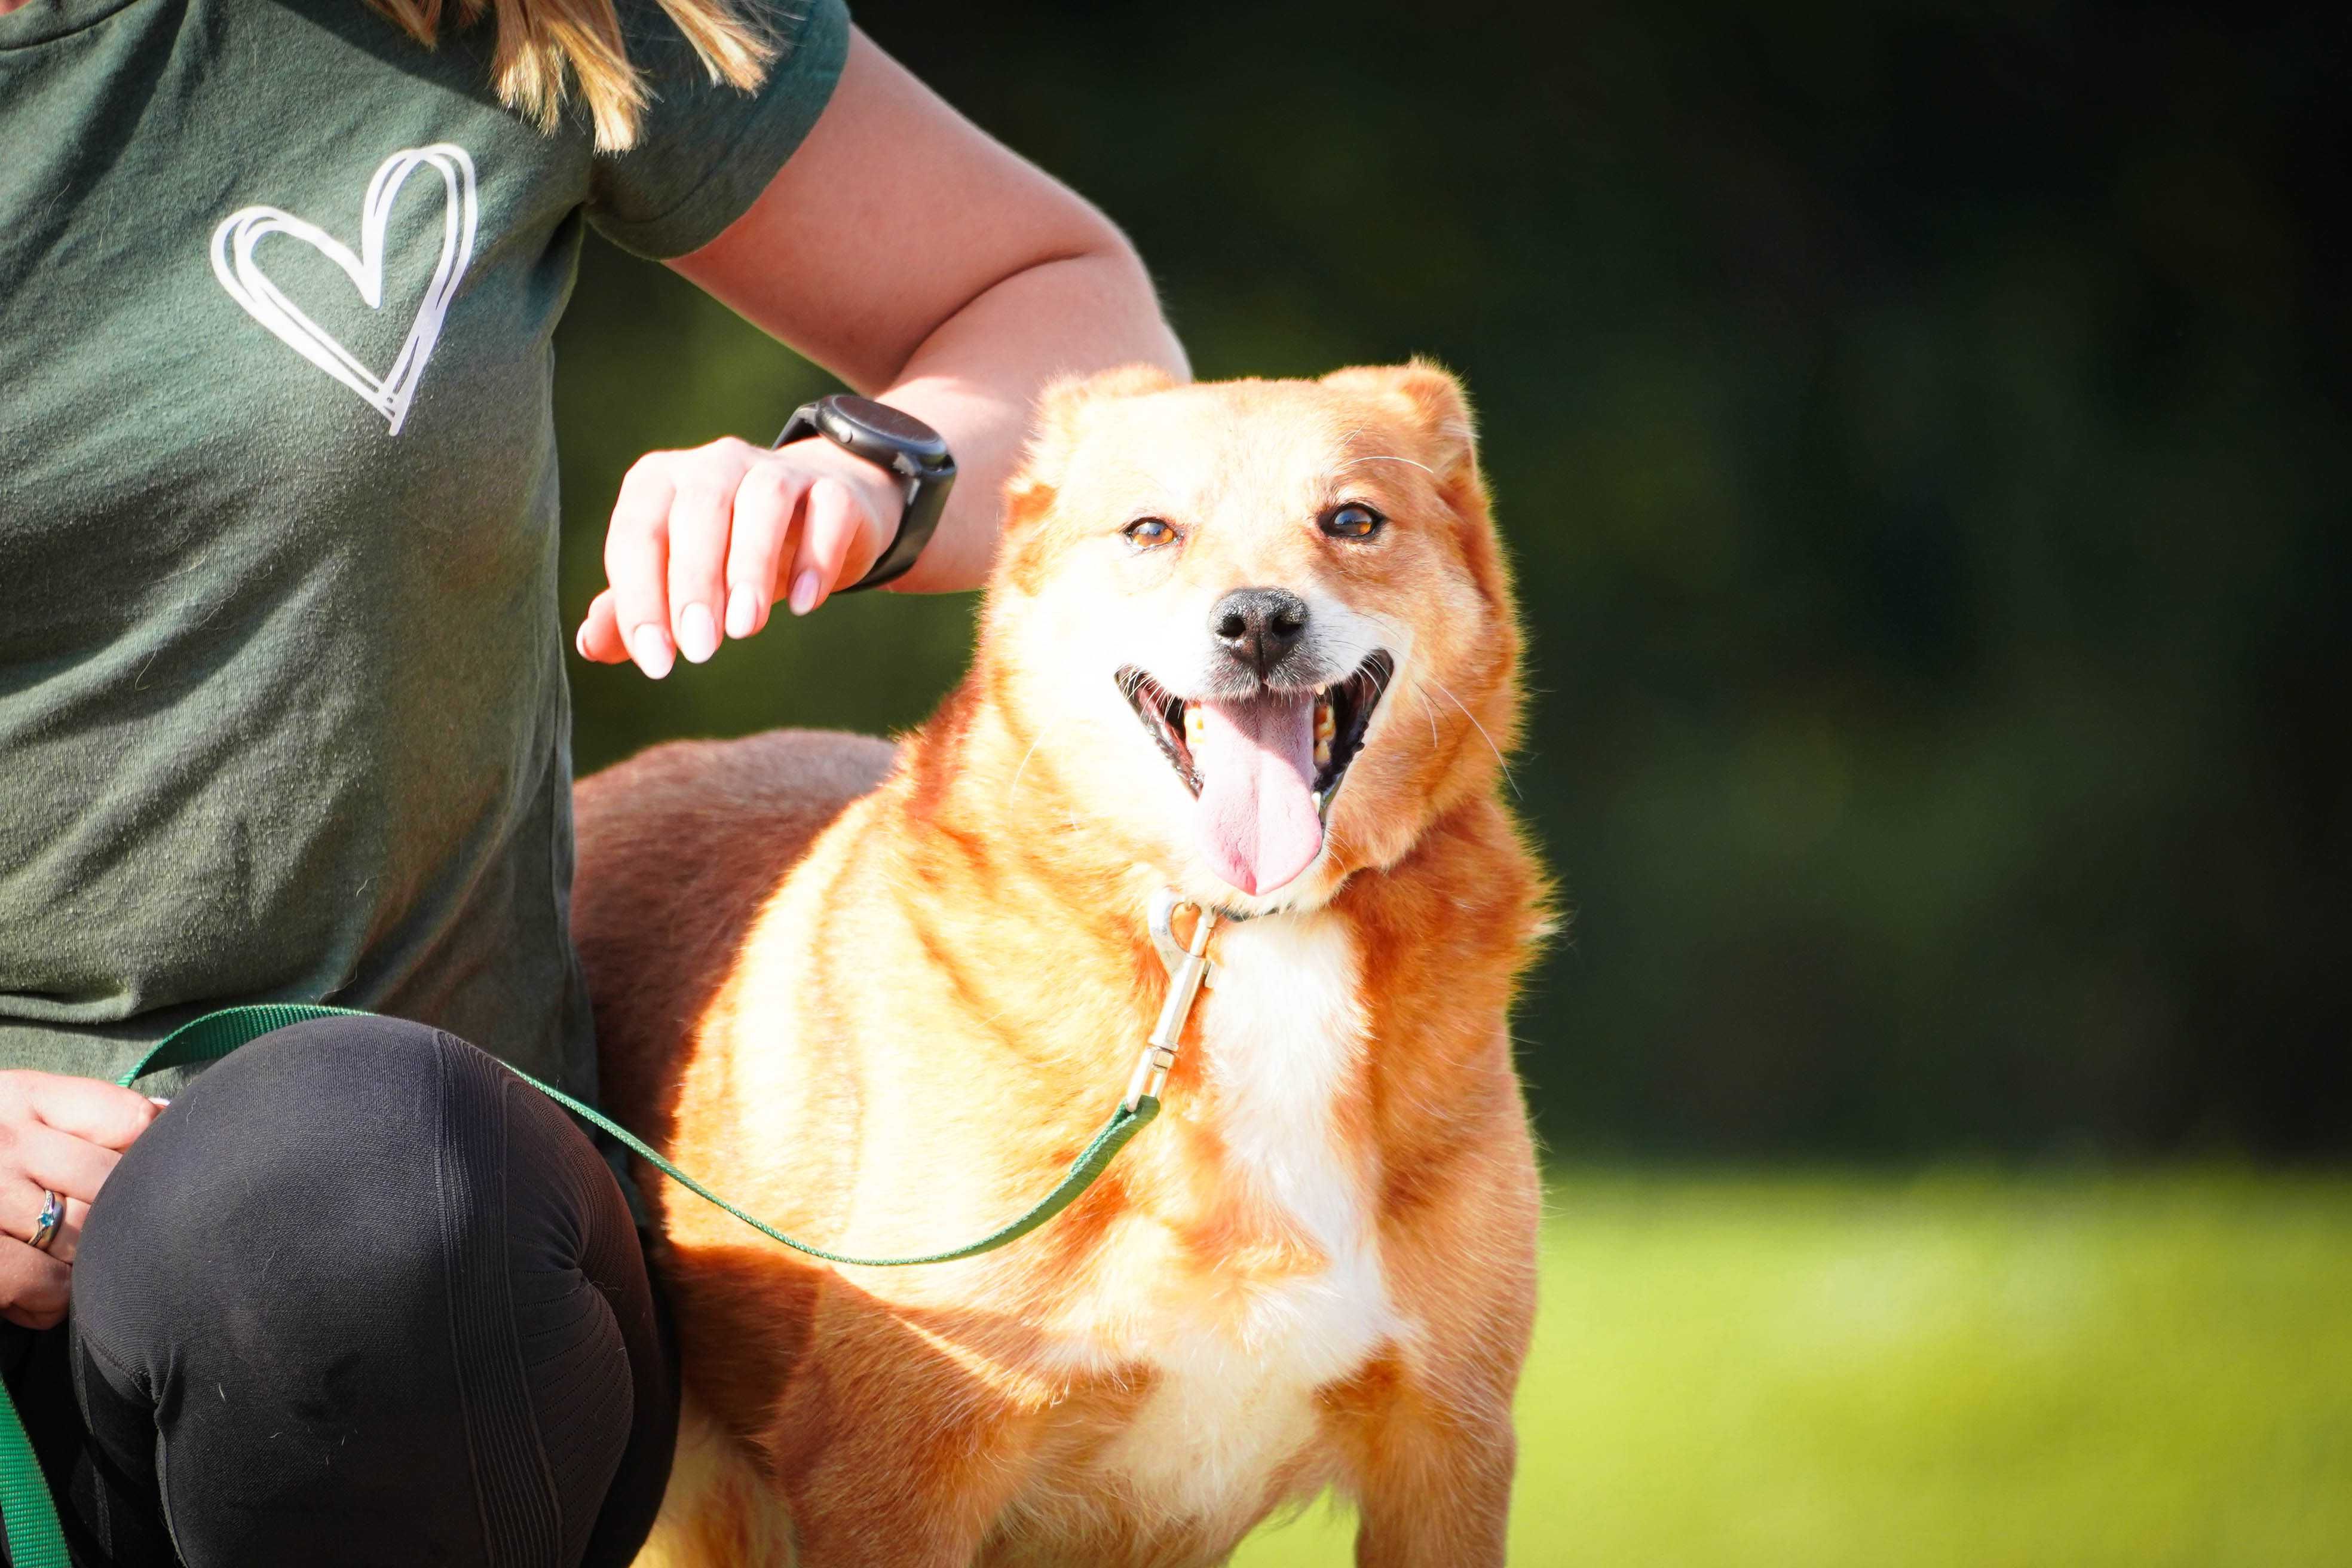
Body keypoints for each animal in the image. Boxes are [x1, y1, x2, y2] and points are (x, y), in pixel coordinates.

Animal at [571, 362, 1552, 1561]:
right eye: (1150, 530)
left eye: (1354, 520)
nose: (1260, 620)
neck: (1243, 930)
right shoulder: (895, 1466)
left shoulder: (1447, 1450)